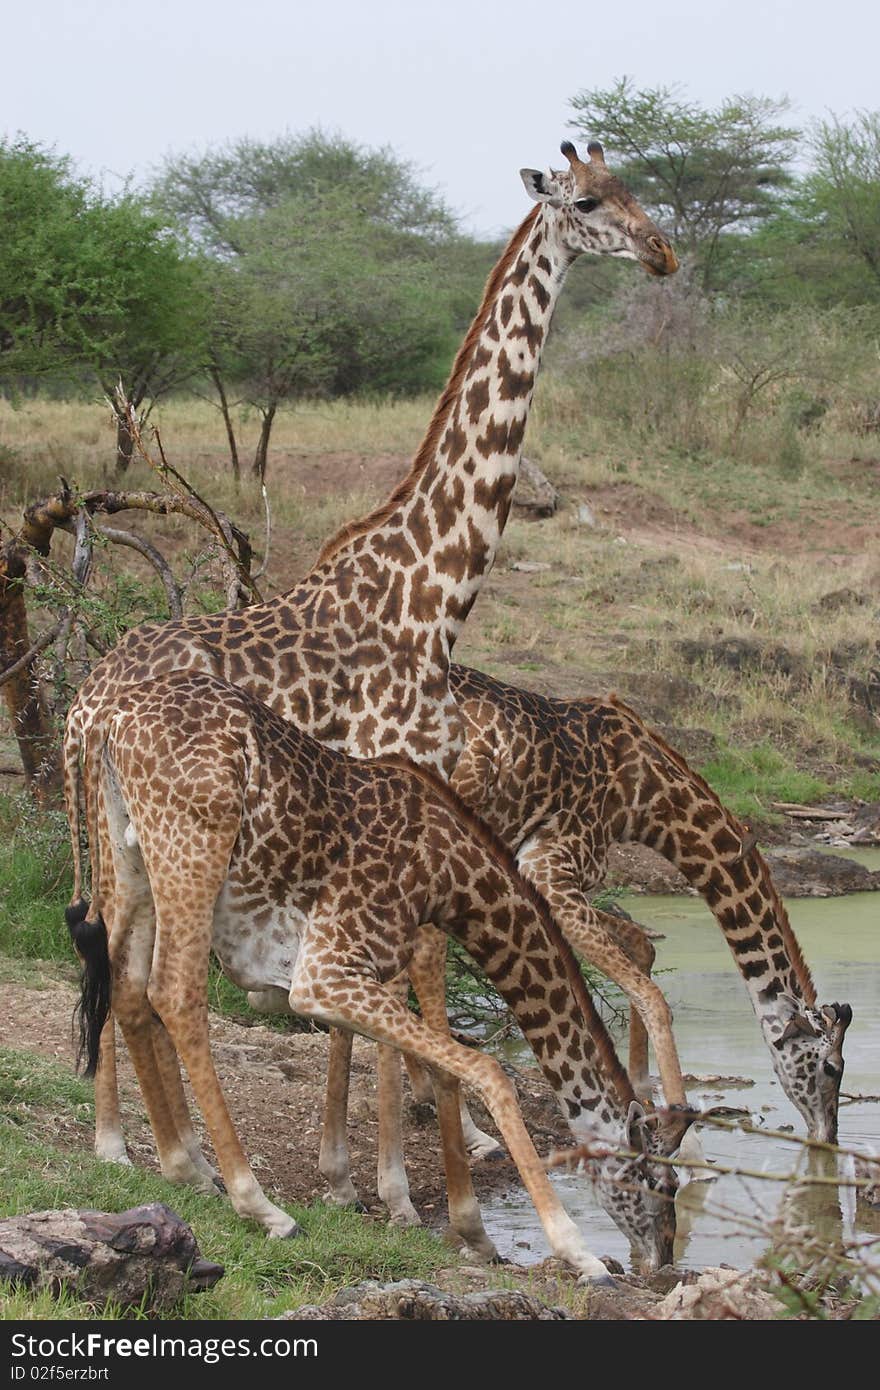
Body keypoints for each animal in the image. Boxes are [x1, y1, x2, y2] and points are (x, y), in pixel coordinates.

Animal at [65, 141, 683, 1200]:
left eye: (636, 189)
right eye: (592, 202)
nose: (662, 253)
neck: (432, 591)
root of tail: (81, 702)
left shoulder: (413, 791)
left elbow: (385, 986)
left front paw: (355, 1162)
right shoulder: (403, 779)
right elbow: (413, 973)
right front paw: (401, 1178)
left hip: (127, 836)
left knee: (120, 958)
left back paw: (146, 1145)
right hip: (149, 834)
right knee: (128, 961)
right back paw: (136, 1147)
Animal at [68, 672, 689, 1278]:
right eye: (657, 1180)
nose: (662, 1259)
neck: (450, 873)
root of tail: (107, 721)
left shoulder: (360, 967)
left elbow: (425, 1066)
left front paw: (453, 1225)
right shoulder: (325, 972)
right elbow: (488, 1070)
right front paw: (574, 1249)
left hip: (127, 858)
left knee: (126, 987)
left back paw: (186, 1167)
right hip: (192, 849)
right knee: (174, 991)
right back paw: (261, 1205)